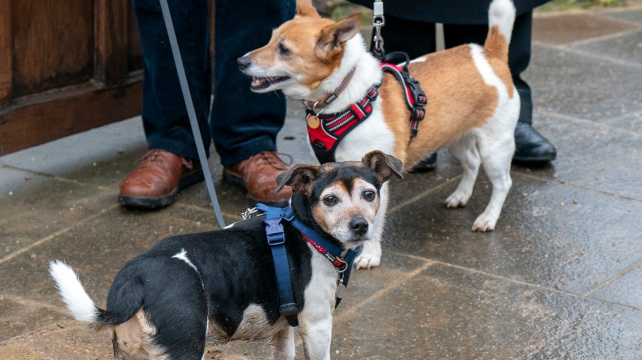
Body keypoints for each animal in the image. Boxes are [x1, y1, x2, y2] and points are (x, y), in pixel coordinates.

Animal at [48, 150, 400, 358]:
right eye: (329, 200)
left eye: (369, 194)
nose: (360, 226)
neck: (308, 230)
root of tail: (134, 282)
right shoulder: (316, 326)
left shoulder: (283, 330)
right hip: (186, 348)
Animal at [238, 0, 516, 268]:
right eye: (271, 40)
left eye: (284, 49)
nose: (240, 62)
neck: (344, 96)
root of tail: (490, 54)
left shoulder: (375, 179)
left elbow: (372, 218)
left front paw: (369, 255)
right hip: (456, 137)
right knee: (472, 162)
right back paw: (461, 195)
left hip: (495, 147)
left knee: (503, 183)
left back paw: (488, 217)